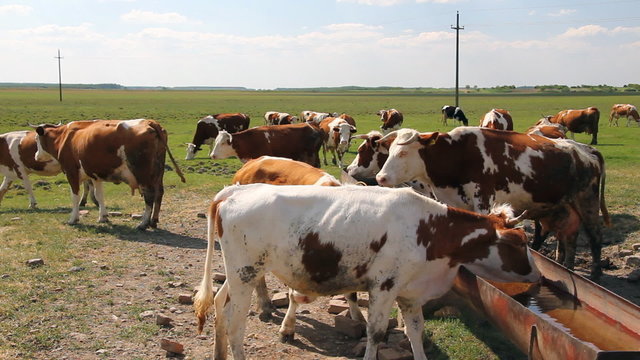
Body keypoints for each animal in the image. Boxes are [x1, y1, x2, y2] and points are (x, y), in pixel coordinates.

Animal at [34, 119, 185, 229]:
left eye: (36, 139)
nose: (36, 156)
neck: (64, 137)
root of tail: (150, 122)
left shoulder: (71, 173)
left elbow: (75, 197)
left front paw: (73, 219)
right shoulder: (95, 176)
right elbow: (99, 196)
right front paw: (103, 217)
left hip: (143, 174)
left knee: (149, 196)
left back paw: (143, 223)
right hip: (158, 174)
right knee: (159, 193)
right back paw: (153, 221)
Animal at [194, 184, 540, 358]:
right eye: (520, 243)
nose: (538, 278)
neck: (429, 228)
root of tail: (234, 191)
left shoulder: (410, 293)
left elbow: (415, 331)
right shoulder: (383, 287)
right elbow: (376, 333)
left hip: (239, 274)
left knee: (220, 306)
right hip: (245, 273)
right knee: (234, 323)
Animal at [378, 128, 612, 280]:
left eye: (403, 152)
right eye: (389, 152)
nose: (381, 177)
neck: (458, 155)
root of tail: (586, 149)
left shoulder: (483, 198)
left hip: (587, 200)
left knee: (595, 235)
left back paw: (595, 272)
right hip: (567, 206)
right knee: (570, 236)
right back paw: (568, 266)